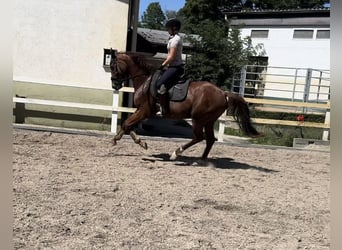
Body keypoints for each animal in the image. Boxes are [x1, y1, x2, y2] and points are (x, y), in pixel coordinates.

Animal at [109, 50, 260, 160]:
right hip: (209, 120)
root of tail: (223, 93)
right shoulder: (140, 110)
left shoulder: (145, 110)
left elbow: (127, 124)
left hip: (198, 119)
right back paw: (202, 160)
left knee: (199, 137)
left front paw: (137, 142)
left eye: (112, 66)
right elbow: (127, 124)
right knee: (210, 139)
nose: (115, 85)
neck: (144, 81)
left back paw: (176, 153)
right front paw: (123, 140)